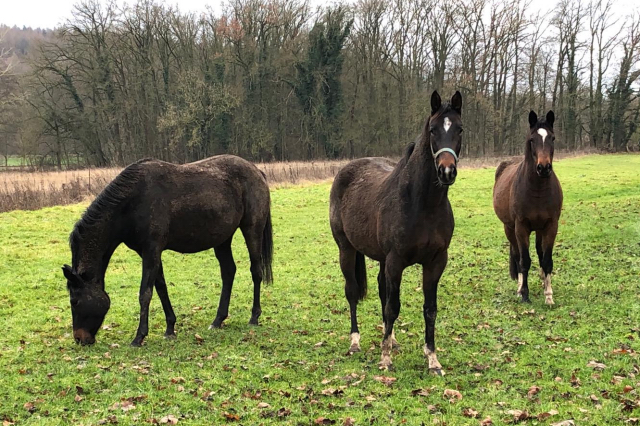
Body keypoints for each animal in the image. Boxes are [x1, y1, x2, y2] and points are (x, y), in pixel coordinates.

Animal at [63, 156, 276, 346]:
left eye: (75, 301)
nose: (79, 339)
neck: (132, 202)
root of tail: (257, 171)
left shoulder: (151, 251)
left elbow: (145, 293)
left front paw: (139, 337)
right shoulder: (149, 252)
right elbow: (161, 288)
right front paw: (170, 329)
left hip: (252, 230)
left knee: (256, 271)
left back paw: (254, 317)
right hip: (222, 239)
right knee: (228, 272)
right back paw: (218, 320)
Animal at [332, 90, 462, 372]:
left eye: (459, 129)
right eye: (433, 130)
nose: (446, 171)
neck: (422, 204)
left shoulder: (436, 262)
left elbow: (429, 308)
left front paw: (432, 359)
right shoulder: (396, 261)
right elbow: (393, 307)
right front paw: (385, 360)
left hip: (381, 259)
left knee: (382, 290)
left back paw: (390, 340)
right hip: (346, 249)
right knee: (352, 292)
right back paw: (355, 341)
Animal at [492, 110, 564, 302]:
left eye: (552, 138)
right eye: (532, 139)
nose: (544, 168)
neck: (537, 190)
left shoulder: (551, 226)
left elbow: (546, 260)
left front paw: (549, 295)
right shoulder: (521, 227)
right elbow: (524, 260)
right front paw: (524, 293)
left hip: (539, 229)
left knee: (539, 253)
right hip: (509, 228)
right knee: (517, 256)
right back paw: (519, 288)